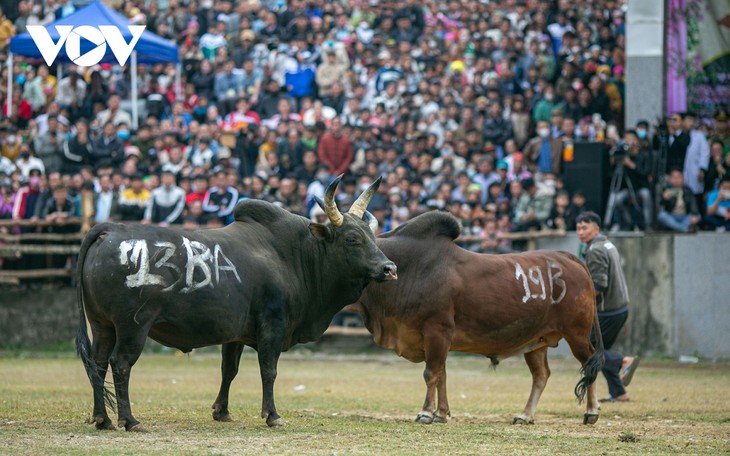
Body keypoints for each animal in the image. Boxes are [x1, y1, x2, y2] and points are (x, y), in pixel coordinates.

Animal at [77, 177, 396, 432]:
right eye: (352, 239)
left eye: (372, 236)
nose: (389, 268)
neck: (297, 255)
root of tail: (108, 230)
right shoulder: (273, 325)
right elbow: (269, 370)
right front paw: (272, 415)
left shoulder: (235, 334)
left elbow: (228, 369)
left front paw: (222, 411)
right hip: (133, 326)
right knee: (120, 364)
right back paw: (129, 420)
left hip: (102, 325)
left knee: (98, 364)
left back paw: (102, 419)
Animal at [352, 212, 604, 426]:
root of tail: (567, 257)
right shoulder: (439, 338)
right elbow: (442, 374)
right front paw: (441, 413)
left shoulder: (437, 330)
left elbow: (431, 373)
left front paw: (426, 413)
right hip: (537, 341)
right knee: (541, 375)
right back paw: (525, 415)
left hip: (577, 333)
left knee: (589, 362)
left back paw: (591, 411)